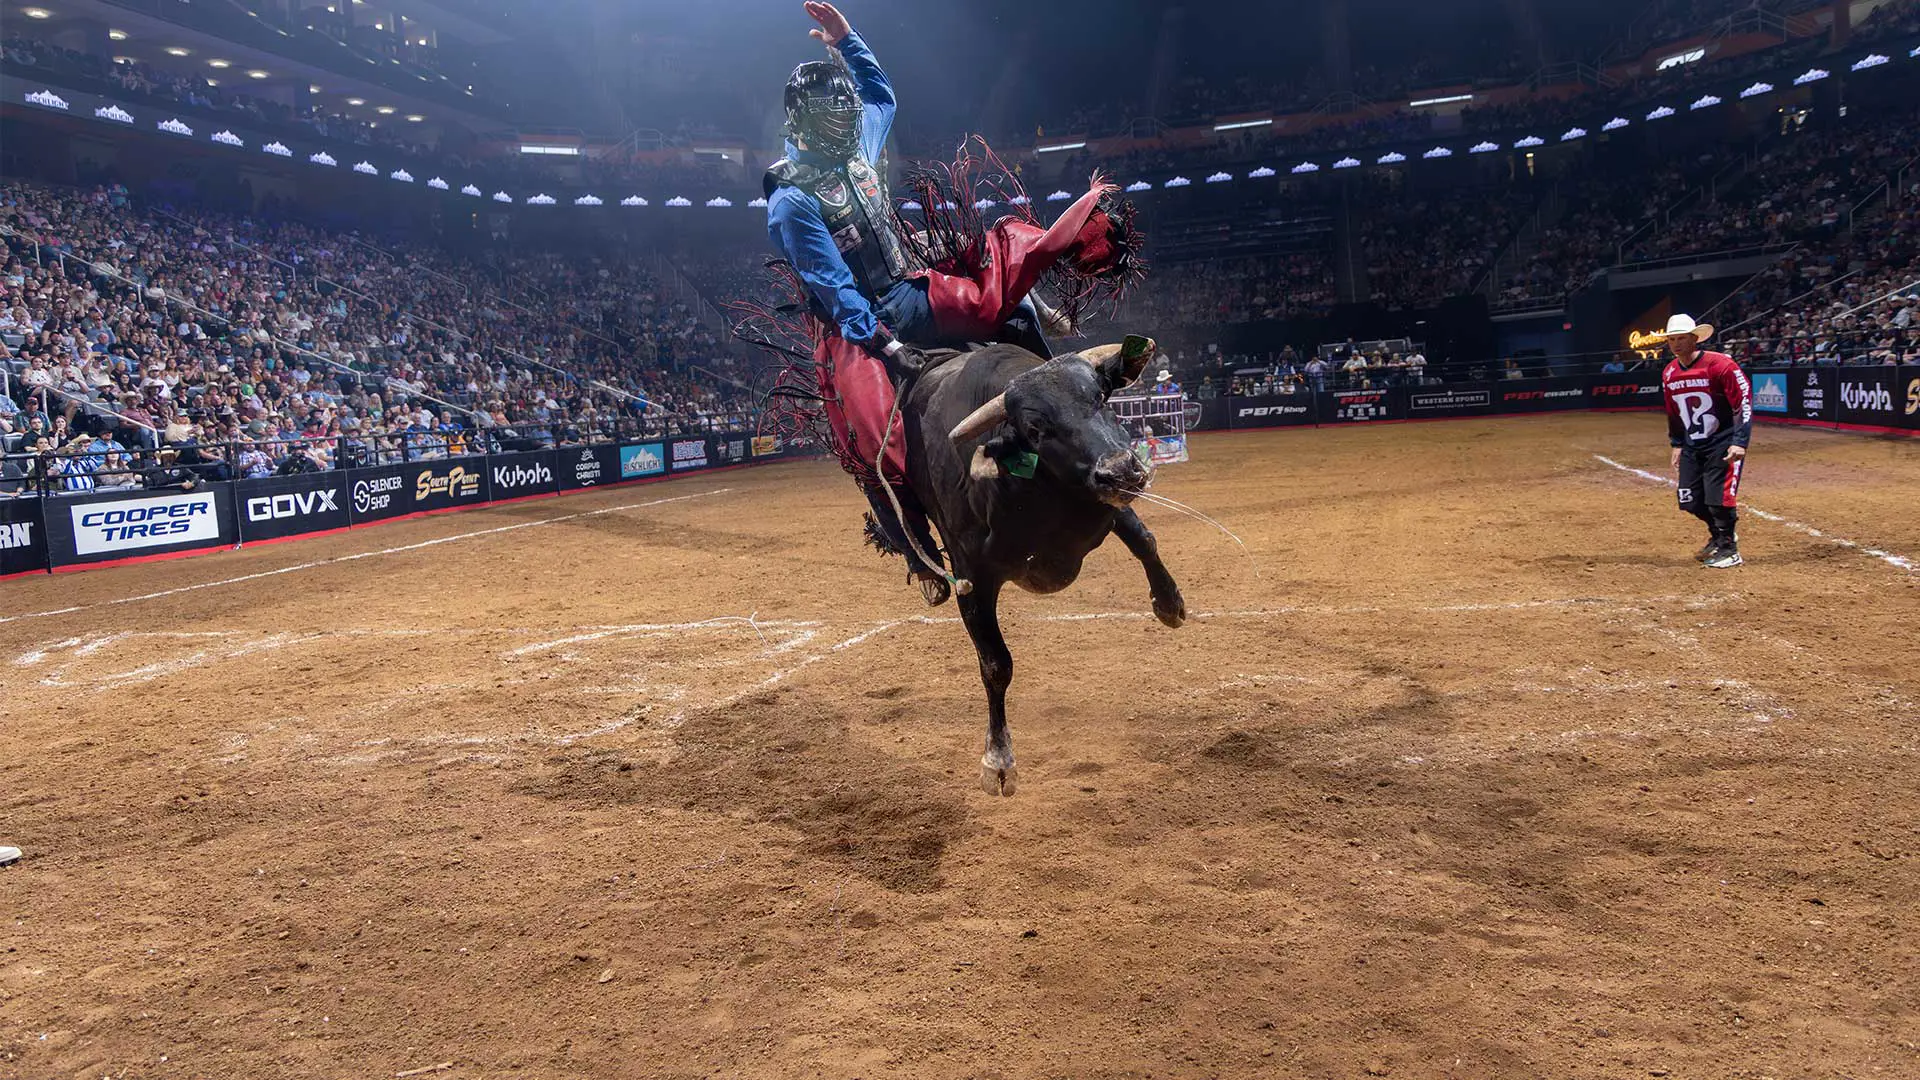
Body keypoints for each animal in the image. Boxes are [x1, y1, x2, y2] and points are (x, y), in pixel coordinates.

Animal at [899, 335, 1187, 796]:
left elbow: (1144, 540)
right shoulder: (971, 578)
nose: (1120, 469)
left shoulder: (1103, 502)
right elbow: (996, 665)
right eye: (1035, 429)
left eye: (1100, 396)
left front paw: (1168, 602)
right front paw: (998, 760)